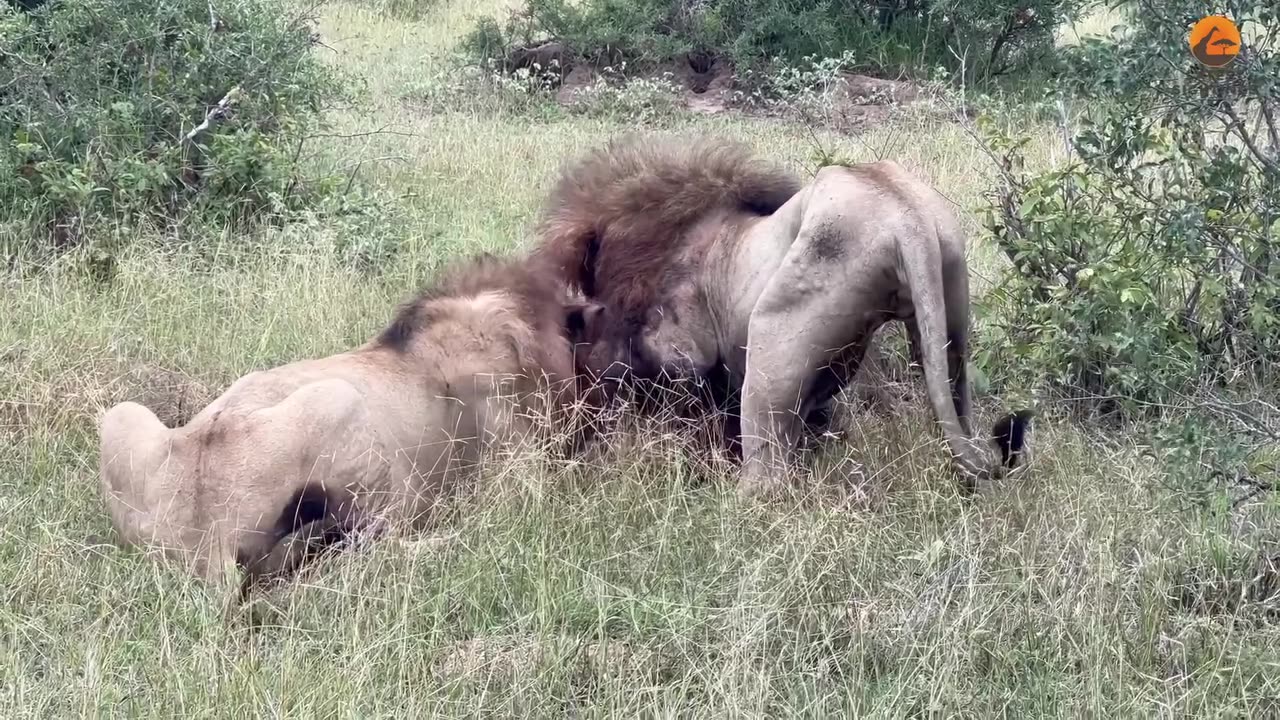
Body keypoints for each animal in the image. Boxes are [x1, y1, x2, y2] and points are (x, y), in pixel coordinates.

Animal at [99, 252, 599, 594]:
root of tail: (204, 540)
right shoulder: (518, 473)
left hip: (122, 414)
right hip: (342, 403)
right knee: (373, 547)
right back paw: (448, 540)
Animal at [535, 131, 1034, 497]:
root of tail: (905, 217)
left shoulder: (684, 352)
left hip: (775, 334)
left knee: (769, 464)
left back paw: (733, 503)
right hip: (949, 315)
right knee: (957, 406)